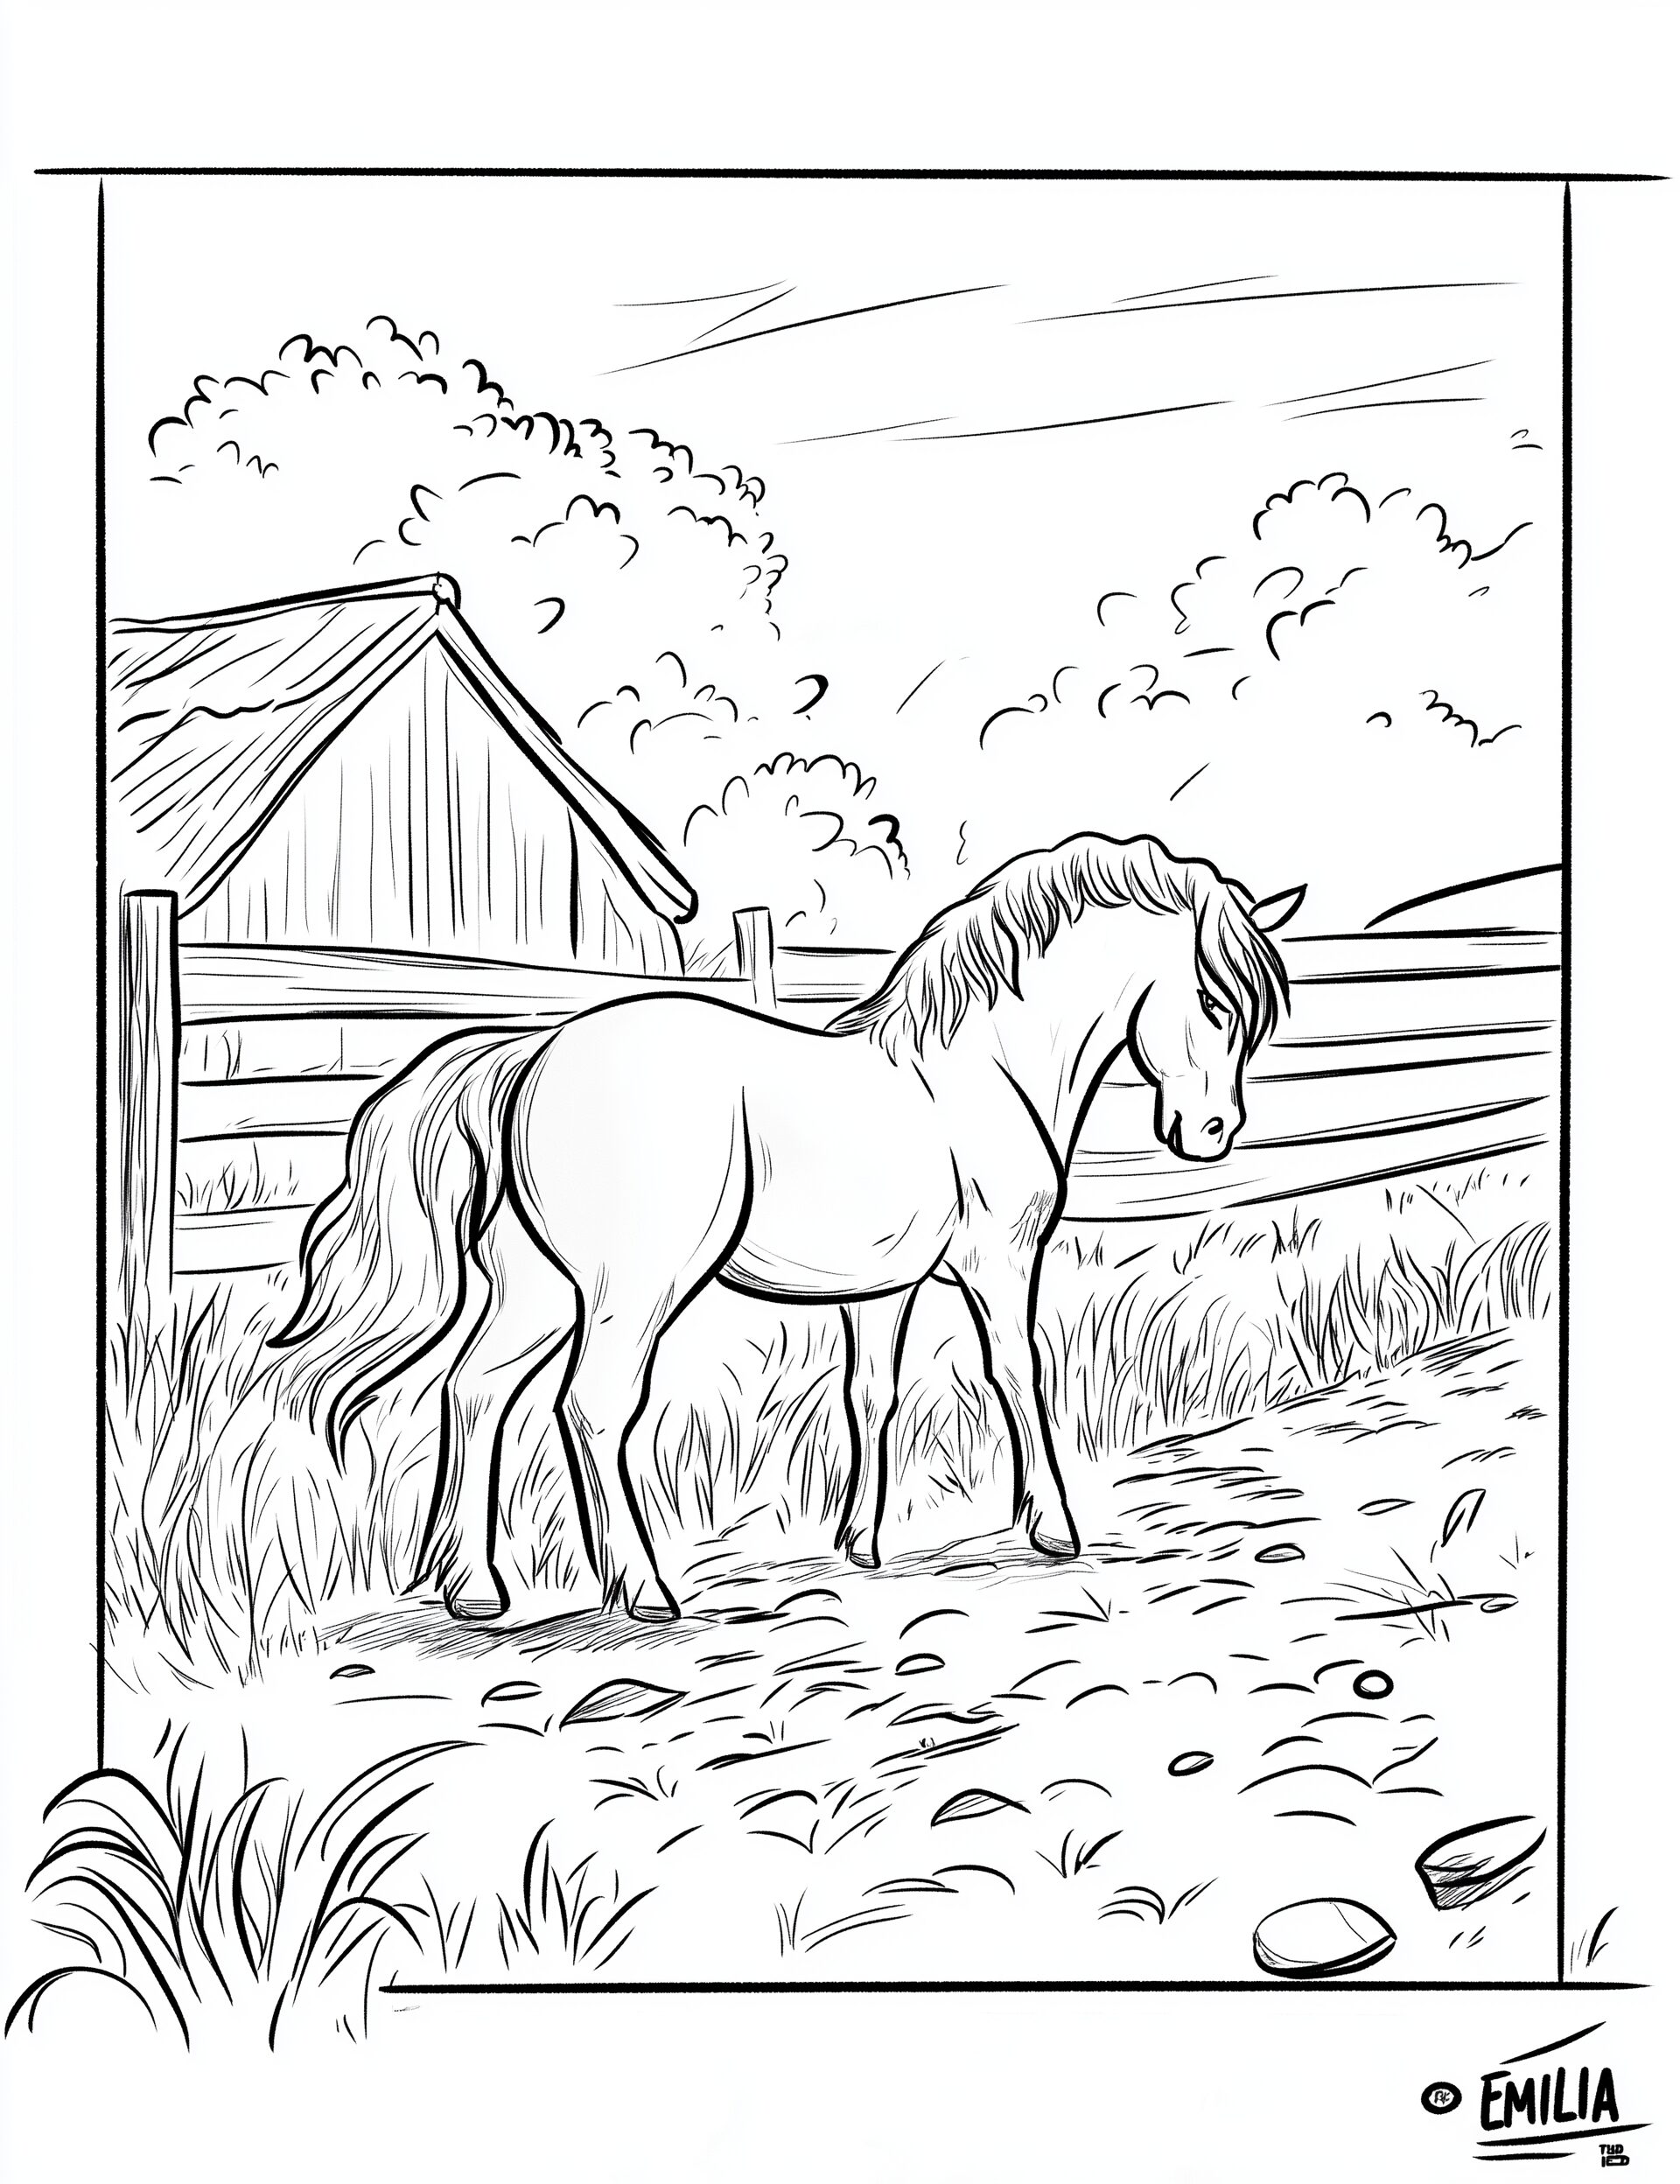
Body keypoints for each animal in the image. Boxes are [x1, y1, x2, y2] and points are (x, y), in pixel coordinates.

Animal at [272, 832, 1303, 1623]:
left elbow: (871, 1395)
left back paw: (474, 1589)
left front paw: (863, 1542)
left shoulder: (880, 1291)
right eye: (1215, 1003)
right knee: (592, 1406)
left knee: (475, 1391)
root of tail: (530, 1050)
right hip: (630, 1293)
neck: (976, 1068)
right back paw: (642, 1590)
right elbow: (1019, 1371)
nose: (1214, 1132)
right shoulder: (1000, 1265)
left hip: (540, 1292)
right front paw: (1053, 1529)